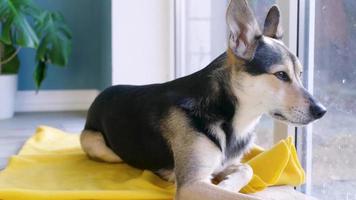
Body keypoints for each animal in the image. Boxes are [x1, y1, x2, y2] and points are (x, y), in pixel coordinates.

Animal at [80, 0, 326, 199]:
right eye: (281, 75)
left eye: (300, 74)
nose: (322, 111)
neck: (231, 115)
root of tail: (103, 93)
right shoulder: (192, 183)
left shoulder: (223, 166)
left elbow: (247, 169)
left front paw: (227, 184)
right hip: (99, 146)